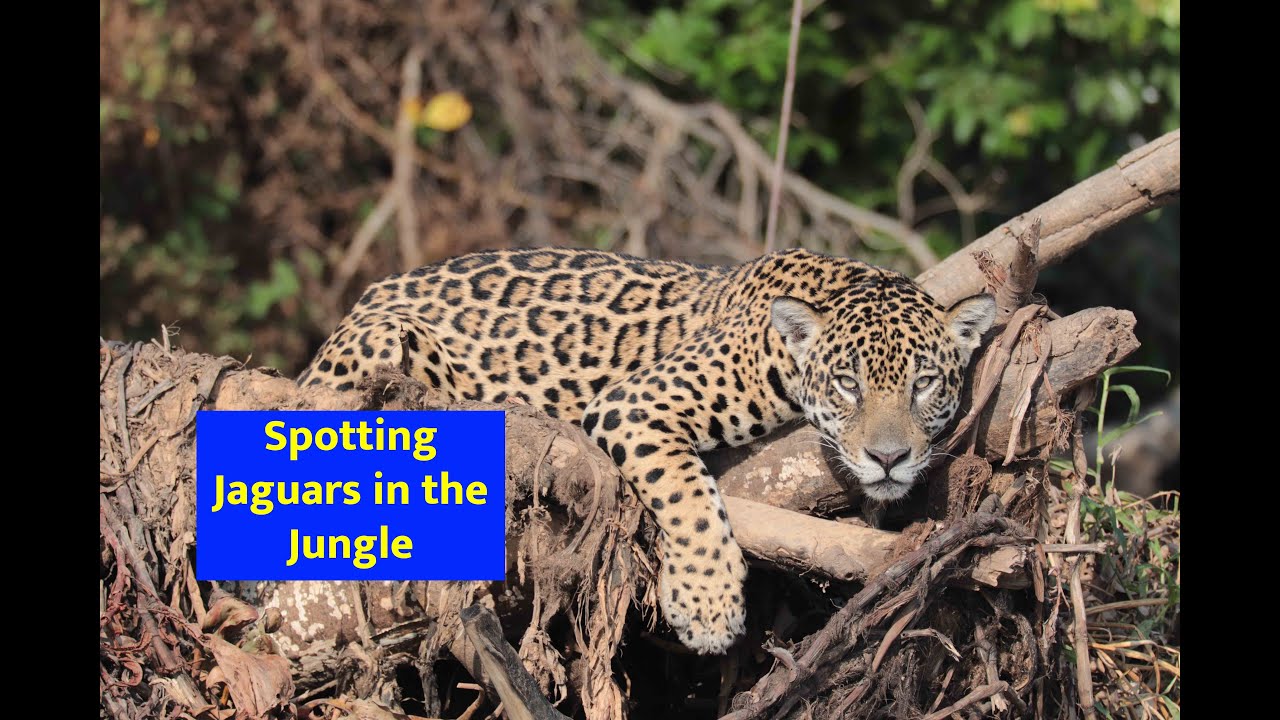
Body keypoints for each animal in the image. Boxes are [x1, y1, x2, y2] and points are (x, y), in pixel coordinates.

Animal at [298, 247, 996, 654]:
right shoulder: (635, 403)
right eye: (848, 383)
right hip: (381, 349)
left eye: (923, 383)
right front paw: (709, 607)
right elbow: (689, 495)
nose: (888, 458)